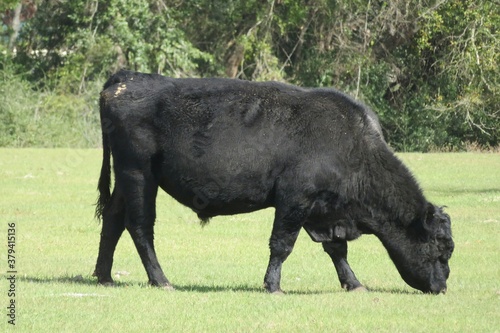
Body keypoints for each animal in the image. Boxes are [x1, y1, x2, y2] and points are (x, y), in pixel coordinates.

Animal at [93, 69, 454, 294]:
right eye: (441, 248)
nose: (442, 286)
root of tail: (128, 78)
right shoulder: (294, 199)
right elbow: (282, 244)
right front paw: (273, 285)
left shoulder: (325, 211)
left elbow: (337, 249)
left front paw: (353, 283)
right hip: (139, 174)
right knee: (140, 226)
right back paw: (161, 279)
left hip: (126, 180)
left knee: (112, 220)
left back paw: (104, 276)